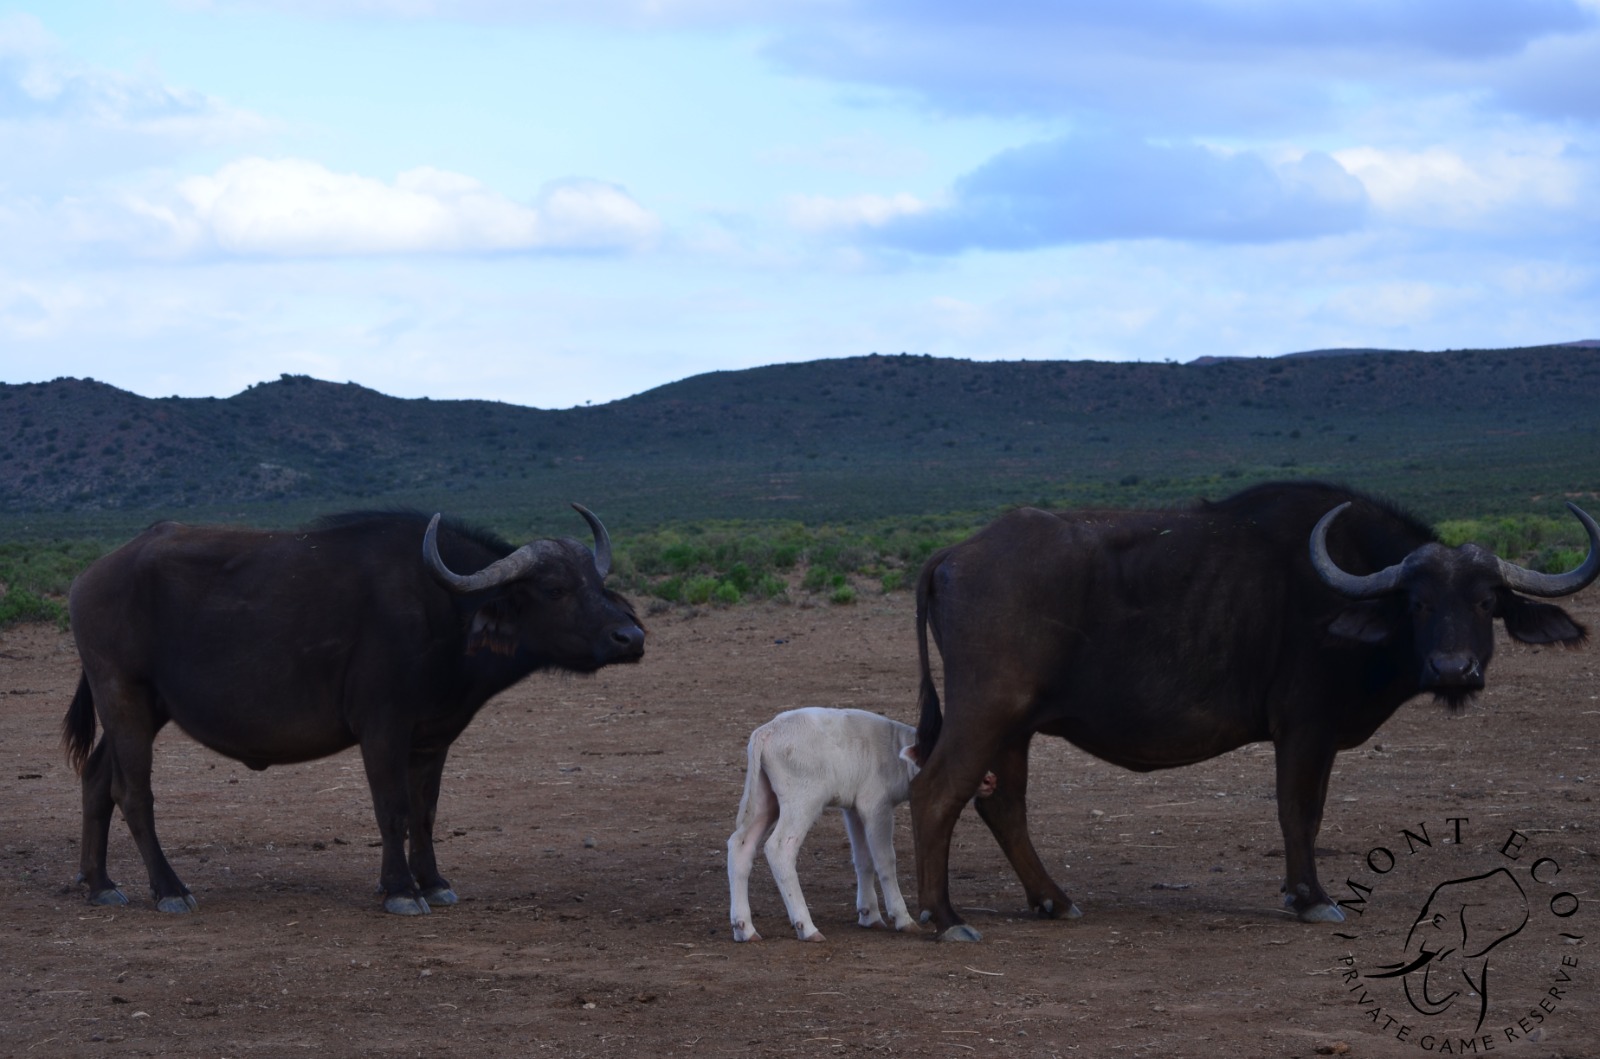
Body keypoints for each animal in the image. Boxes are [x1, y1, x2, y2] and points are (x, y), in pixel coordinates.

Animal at [62, 504, 644, 916]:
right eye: (554, 588)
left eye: (598, 583)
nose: (631, 638)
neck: (444, 612)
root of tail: (89, 578)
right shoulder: (382, 728)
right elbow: (393, 809)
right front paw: (401, 890)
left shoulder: (432, 738)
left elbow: (426, 812)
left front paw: (434, 882)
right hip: (124, 696)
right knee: (133, 793)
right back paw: (168, 890)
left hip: (143, 708)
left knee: (96, 778)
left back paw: (99, 883)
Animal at [908, 481, 1598, 941]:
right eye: (1419, 602)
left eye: (1487, 601)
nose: (1454, 669)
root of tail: (955, 553)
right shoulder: (1304, 730)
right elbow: (1300, 812)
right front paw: (1311, 897)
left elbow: (1306, 813)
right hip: (985, 712)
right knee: (935, 792)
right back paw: (943, 918)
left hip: (1015, 728)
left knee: (1002, 804)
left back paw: (1052, 900)